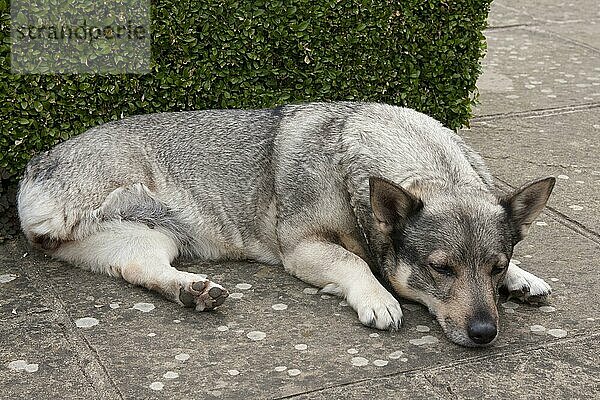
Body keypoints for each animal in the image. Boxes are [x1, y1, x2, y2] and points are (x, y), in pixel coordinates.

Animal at [16, 102, 556, 346]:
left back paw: (192, 290)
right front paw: (378, 297)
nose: (485, 332)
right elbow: (355, 263)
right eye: (440, 269)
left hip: (151, 241)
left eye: (495, 266)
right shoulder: (304, 248)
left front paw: (522, 277)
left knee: (142, 270)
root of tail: (32, 173)